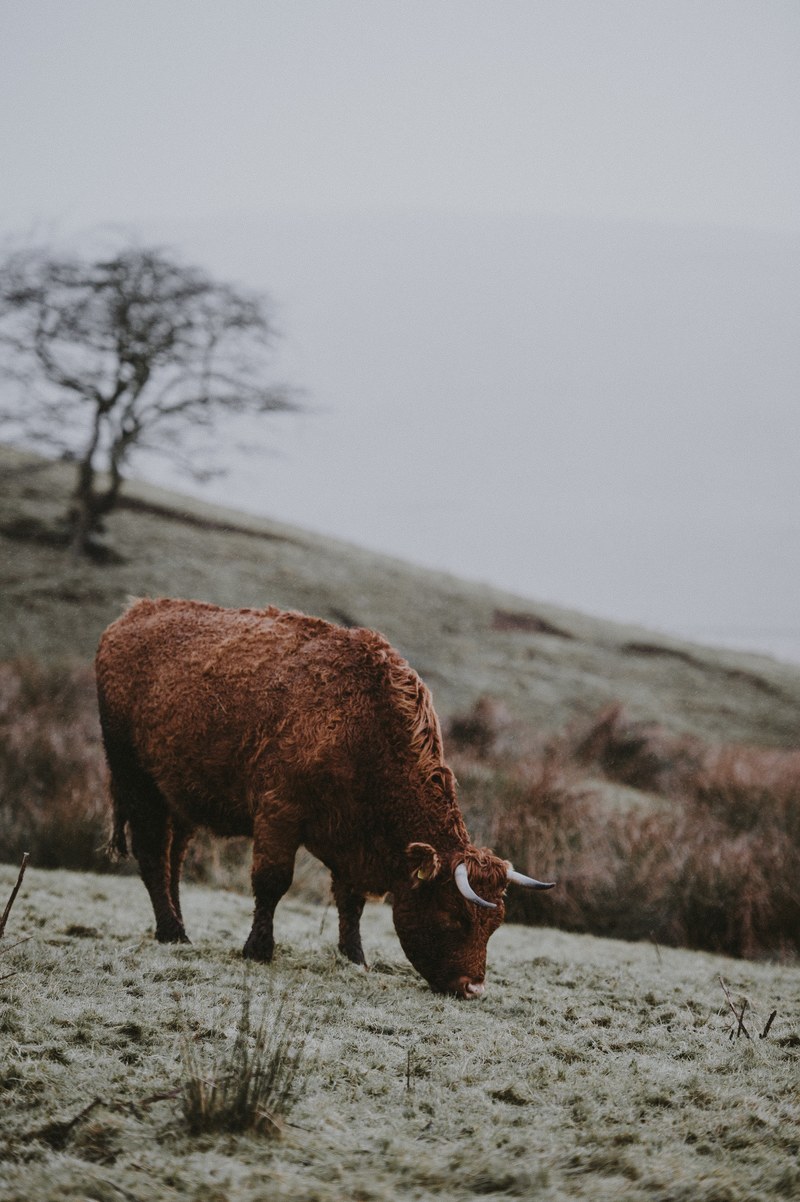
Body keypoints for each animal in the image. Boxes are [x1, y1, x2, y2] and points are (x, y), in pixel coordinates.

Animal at [95, 598, 554, 997]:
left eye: (494, 925)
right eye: (454, 916)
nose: (473, 988)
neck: (362, 724)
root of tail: (133, 614)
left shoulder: (350, 837)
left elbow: (351, 901)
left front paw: (355, 957)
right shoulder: (278, 812)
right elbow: (272, 881)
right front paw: (258, 949)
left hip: (179, 797)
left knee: (172, 859)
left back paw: (177, 926)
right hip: (137, 782)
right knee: (152, 854)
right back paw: (172, 932)